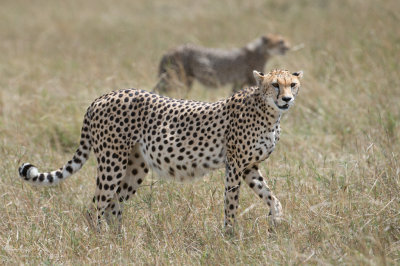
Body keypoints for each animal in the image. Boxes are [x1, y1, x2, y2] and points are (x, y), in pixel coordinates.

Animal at [155, 34, 290, 93]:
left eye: (284, 40)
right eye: (281, 42)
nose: (288, 47)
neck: (261, 51)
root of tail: (169, 51)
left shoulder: (238, 81)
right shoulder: (251, 80)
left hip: (187, 79)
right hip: (176, 78)